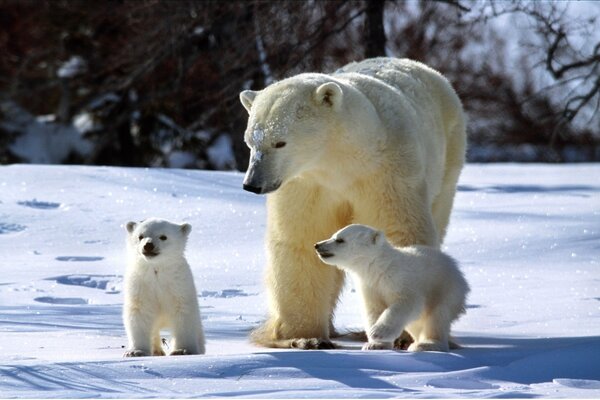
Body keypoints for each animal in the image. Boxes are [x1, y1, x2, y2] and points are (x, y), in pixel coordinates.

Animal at [240, 57, 468, 350]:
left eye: (280, 142)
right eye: (250, 141)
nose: (252, 184)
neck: (342, 161)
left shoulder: (385, 172)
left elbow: (399, 229)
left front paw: (400, 336)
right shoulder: (306, 184)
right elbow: (301, 239)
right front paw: (305, 337)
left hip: (449, 156)